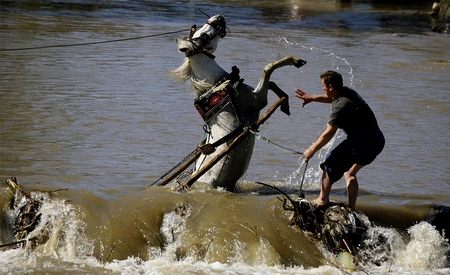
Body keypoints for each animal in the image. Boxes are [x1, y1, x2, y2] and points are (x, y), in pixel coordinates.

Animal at [169, 13, 306, 192]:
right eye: (203, 35)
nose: (219, 17)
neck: (217, 85)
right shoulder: (258, 100)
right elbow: (268, 69)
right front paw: (296, 61)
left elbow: (272, 82)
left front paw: (285, 104)